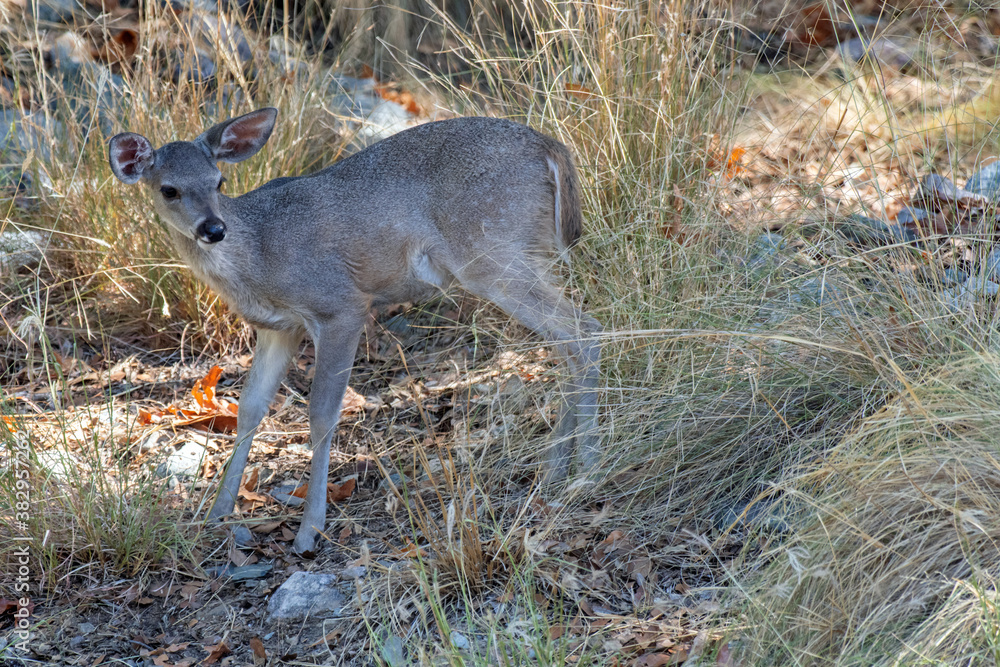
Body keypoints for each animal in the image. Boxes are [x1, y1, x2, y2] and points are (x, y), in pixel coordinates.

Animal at [108, 108, 601, 555]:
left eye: (219, 181)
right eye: (169, 189)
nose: (213, 228)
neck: (259, 254)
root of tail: (552, 148)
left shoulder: (341, 305)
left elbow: (322, 414)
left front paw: (310, 530)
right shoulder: (279, 328)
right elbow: (248, 408)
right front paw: (217, 513)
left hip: (493, 252)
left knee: (584, 329)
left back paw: (584, 469)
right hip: (525, 254)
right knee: (568, 342)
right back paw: (556, 467)